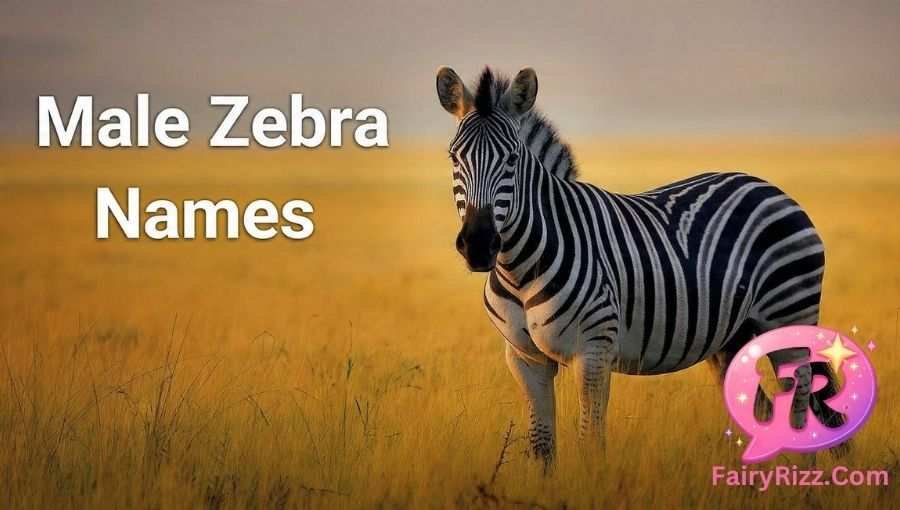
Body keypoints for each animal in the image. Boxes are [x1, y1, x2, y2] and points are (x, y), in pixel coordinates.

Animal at [435, 66, 845, 467]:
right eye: (454, 158)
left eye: (512, 160)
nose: (478, 245)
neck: (520, 269)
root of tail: (770, 187)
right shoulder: (524, 358)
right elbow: (542, 448)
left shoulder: (593, 350)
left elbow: (590, 440)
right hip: (734, 336)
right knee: (761, 409)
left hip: (789, 313)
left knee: (799, 410)